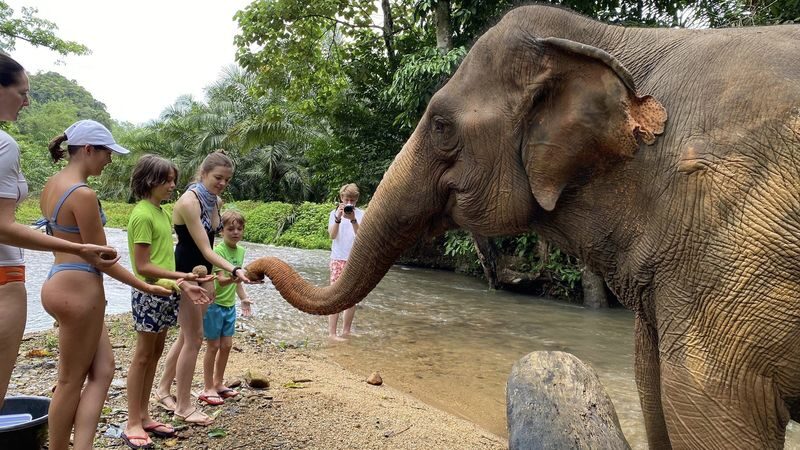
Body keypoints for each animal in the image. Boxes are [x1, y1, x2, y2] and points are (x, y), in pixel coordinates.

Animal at [247, 5, 800, 448]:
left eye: (442, 125)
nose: (250, 272)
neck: (615, 39)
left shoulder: (729, 240)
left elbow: (706, 410)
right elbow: (653, 393)